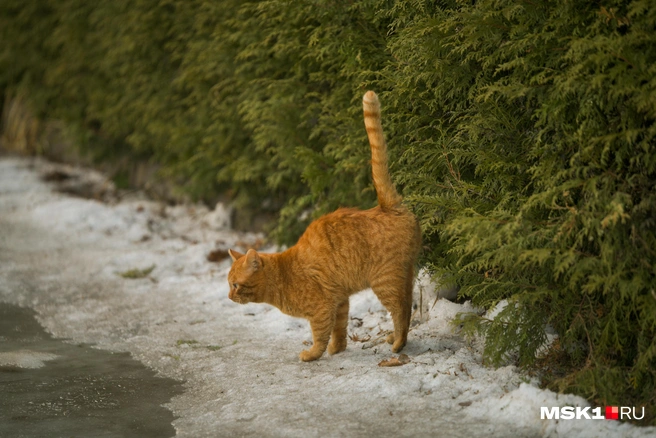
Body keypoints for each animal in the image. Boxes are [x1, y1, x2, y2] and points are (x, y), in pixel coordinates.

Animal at [227, 90, 420, 362]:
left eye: (235, 285)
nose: (229, 296)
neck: (282, 276)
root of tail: (386, 206)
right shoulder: (339, 302)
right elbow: (339, 329)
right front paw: (337, 349)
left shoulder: (321, 308)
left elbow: (319, 334)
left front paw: (312, 354)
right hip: (405, 274)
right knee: (408, 306)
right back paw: (394, 338)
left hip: (385, 281)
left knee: (401, 311)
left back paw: (398, 344)